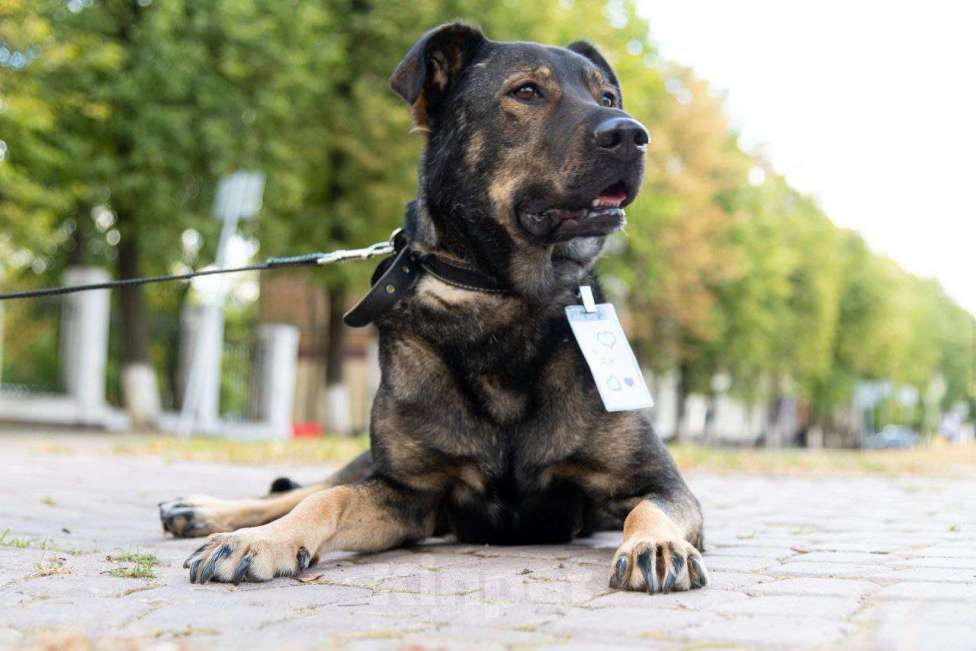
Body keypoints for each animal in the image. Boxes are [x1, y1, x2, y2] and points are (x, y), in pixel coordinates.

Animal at [162, 22, 708, 596]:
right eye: (527, 91)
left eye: (607, 98)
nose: (632, 134)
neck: (502, 296)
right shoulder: (406, 490)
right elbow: (326, 499)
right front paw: (260, 541)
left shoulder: (658, 482)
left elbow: (649, 509)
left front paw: (656, 543)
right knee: (305, 488)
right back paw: (206, 512)